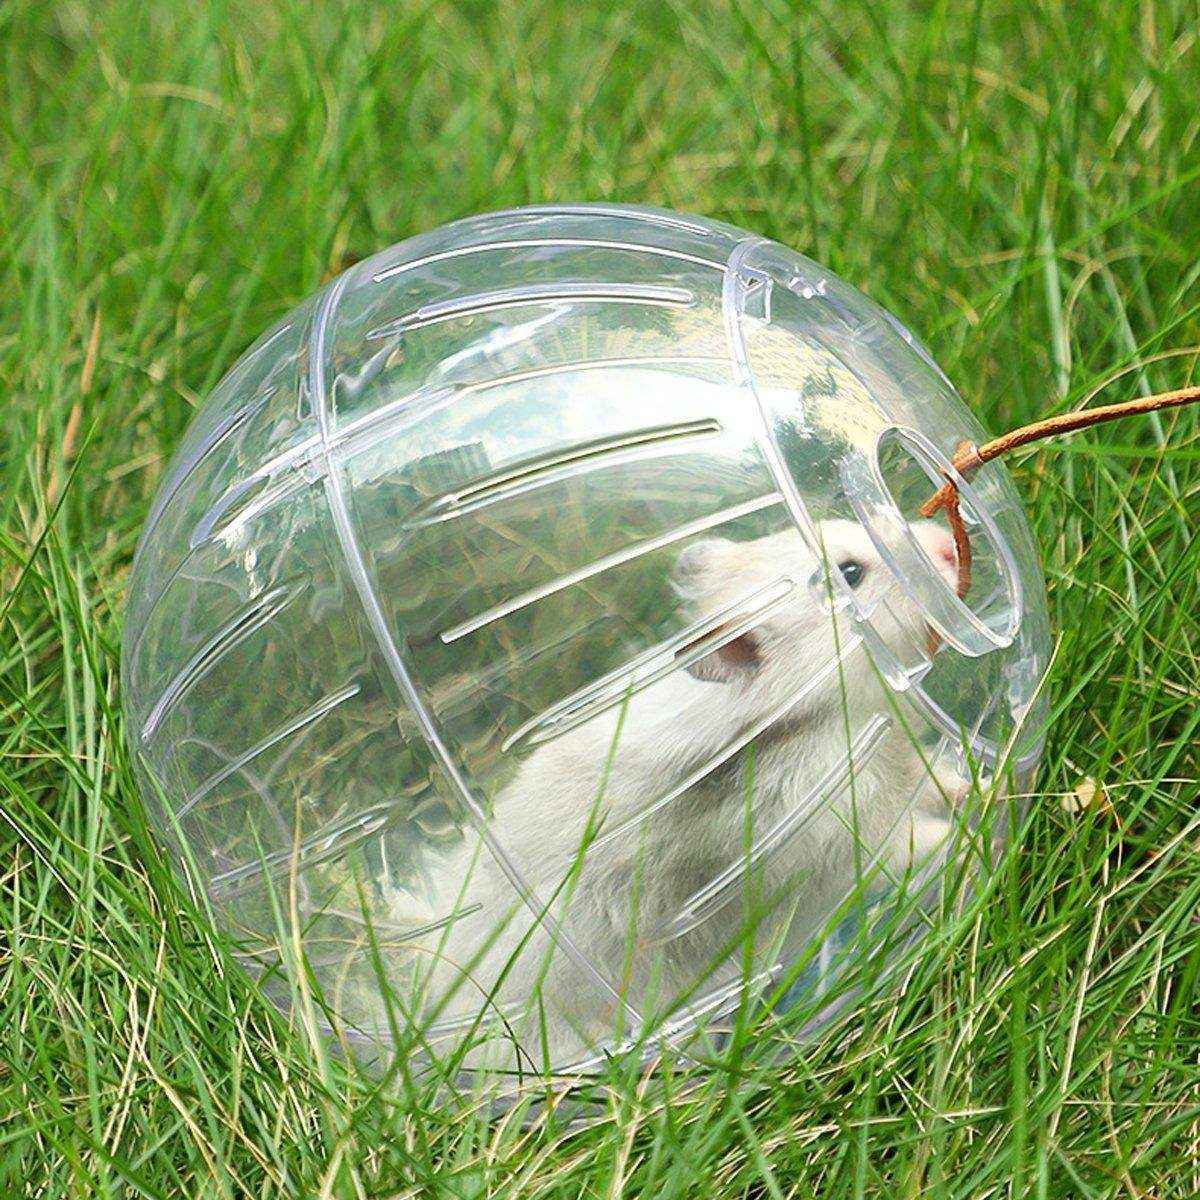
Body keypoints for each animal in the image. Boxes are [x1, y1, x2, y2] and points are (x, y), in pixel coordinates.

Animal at [405, 518, 969, 1071]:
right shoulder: (847, 836)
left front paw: (974, 784)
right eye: (851, 573)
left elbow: (935, 781)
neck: (814, 710)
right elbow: (919, 841)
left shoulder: (901, 762)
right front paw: (977, 825)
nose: (948, 544)